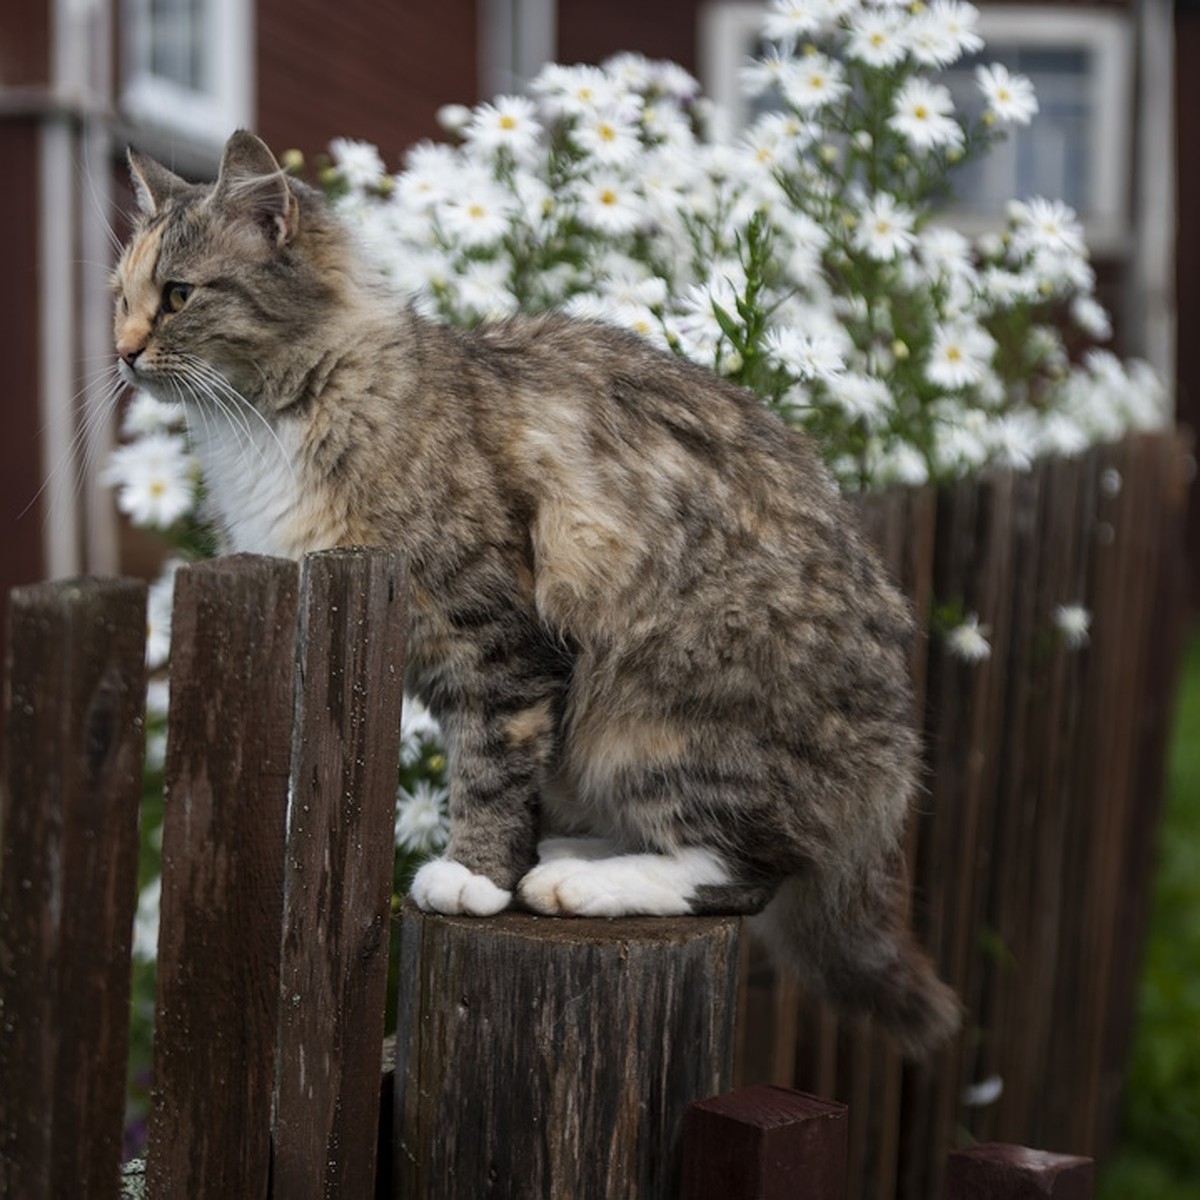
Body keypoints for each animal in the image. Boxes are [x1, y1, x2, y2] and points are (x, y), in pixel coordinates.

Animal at [110, 126, 955, 1056]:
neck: (276, 417)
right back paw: (574, 855)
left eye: (179, 295)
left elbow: (488, 766)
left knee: (742, 871)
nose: (122, 352)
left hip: (659, 720)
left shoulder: (496, 636)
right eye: (121, 297)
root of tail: (890, 769)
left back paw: (582, 883)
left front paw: (475, 875)